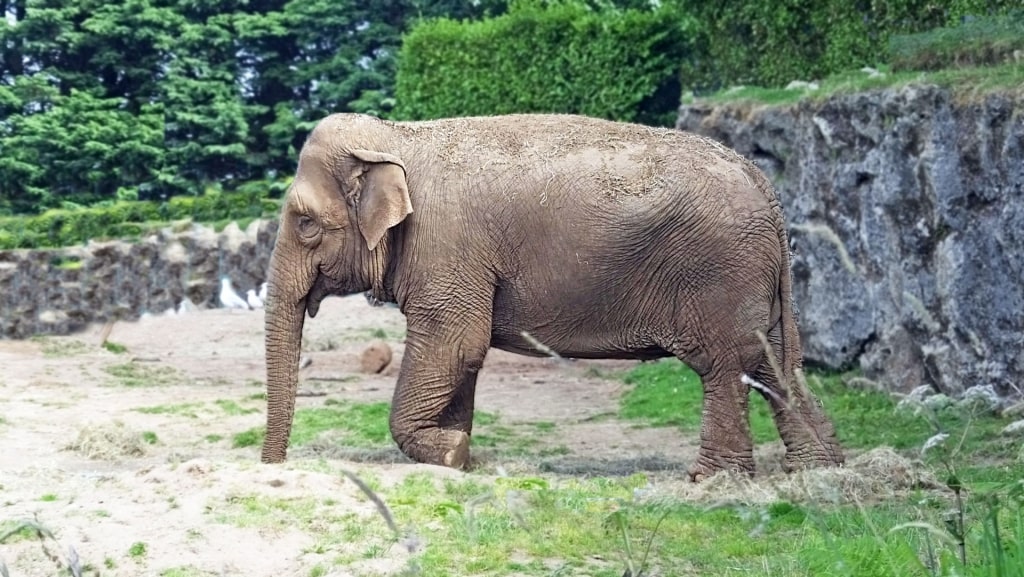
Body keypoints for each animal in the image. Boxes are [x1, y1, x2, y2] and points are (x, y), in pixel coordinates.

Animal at [260, 110, 843, 481]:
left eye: (306, 225)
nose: (273, 467)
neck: (396, 136)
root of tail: (766, 186)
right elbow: (463, 354)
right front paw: (460, 456)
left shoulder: (446, 247)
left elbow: (456, 342)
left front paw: (450, 453)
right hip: (752, 280)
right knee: (774, 364)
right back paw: (818, 471)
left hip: (719, 271)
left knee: (725, 365)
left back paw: (710, 480)